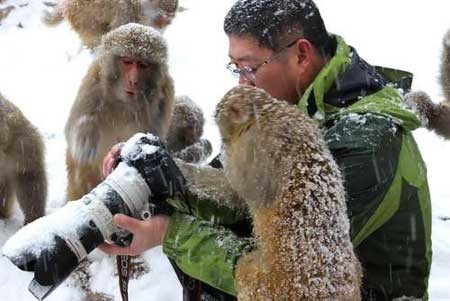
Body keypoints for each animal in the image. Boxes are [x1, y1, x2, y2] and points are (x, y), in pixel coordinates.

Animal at [42, 0, 178, 48]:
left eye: (169, 17)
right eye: (161, 16)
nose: (165, 22)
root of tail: (65, 4)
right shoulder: (126, 12)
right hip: (81, 16)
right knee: (93, 35)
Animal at [65, 24, 174, 202]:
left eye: (143, 65)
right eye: (128, 62)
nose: (133, 80)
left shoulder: (165, 93)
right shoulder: (94, 82)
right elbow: (73, 128)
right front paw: (86, 135)